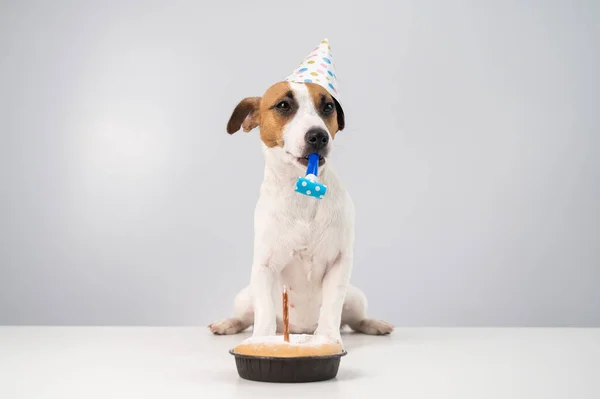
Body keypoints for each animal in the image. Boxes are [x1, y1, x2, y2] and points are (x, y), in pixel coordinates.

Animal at [207, 79, 394, 346]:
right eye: (283, 105)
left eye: (328, 107)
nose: (318, 136)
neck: (302, 192)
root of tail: (297, 329)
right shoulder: (264, 266)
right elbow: (263, 311)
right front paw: (260, 341)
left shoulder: (339, 263)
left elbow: (332, 308)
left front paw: (328, 339)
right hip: (244, 297)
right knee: (245, 317)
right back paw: (227, 324)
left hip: (356, 297)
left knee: (354, 319)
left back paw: (374, 324)